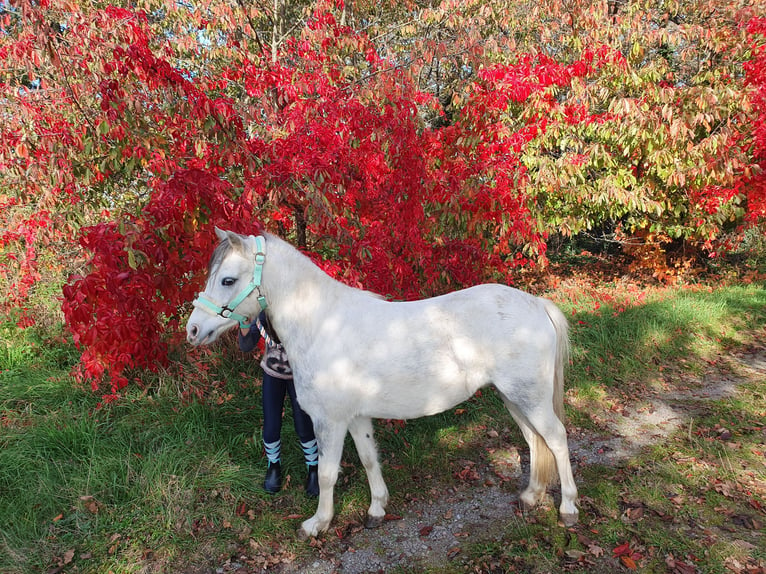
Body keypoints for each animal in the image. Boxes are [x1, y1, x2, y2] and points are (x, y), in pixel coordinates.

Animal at [186, 230, 580, 540]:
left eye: (227, 280)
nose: (192, 329)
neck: (323, 325)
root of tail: (537, 304)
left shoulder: (330, 421)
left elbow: (326, 474)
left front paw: (317, 524)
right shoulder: (357, 418)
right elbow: (368, 458)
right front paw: (377, 509)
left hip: (530, 398)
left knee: (556, 438)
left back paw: (568, 509)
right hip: (514, 398)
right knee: (535, 440)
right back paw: (531, 496)